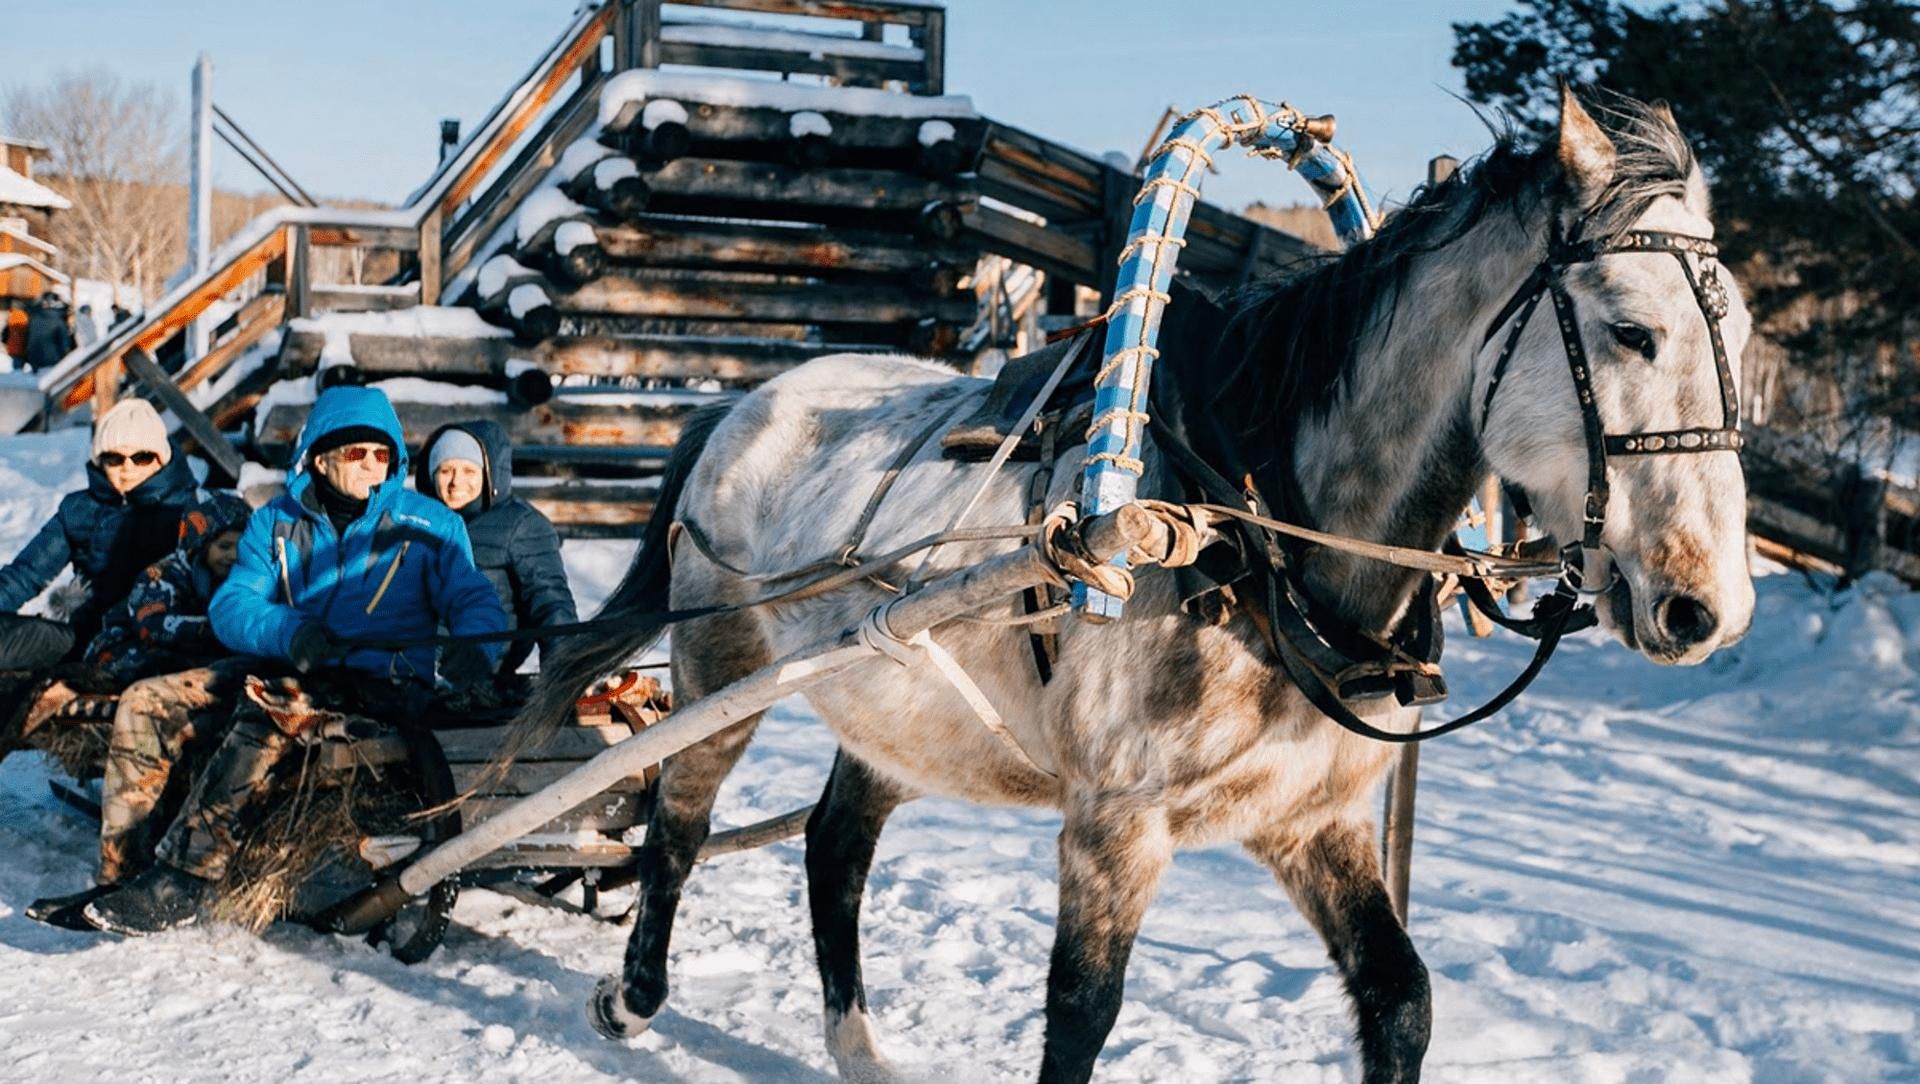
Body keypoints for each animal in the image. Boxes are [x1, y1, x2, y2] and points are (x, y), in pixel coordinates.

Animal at [514, 86, 1758, 1082]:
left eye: (1740, 336)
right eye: (1632, 330)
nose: (1709, 606)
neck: (1250, 536)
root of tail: (743, 403)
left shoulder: (1312, 819)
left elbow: (1402, 999)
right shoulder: (1114, 826)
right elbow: (1083, 1016)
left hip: (893, 708)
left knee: (834, 847)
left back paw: (858, 1048)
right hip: (720, 663)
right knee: (677, 826)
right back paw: (630, 995)